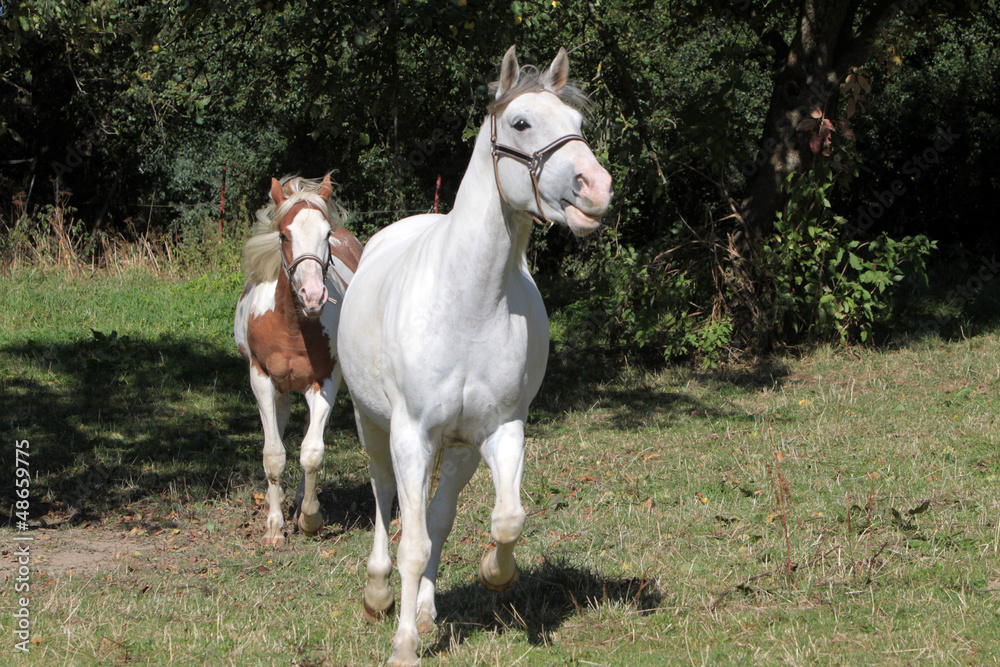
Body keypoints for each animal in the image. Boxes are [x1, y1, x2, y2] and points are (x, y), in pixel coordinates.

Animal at [234, 174, 363, 545]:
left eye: (326, 234)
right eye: (283, 235)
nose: (313, 296)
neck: (291, 326)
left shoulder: (325, 382)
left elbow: (311, 453)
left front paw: (309, 518)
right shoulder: (261, 379)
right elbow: (274, 455)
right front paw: (274, 528)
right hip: (278, 392)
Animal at [337, 47, 613, 665]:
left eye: (578, 124)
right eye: (521, 122)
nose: (597, 187)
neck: (469, 304)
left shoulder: (501, 429)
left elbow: (506, 519)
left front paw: (492, 573)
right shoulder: (411, 433)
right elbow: (410, 540)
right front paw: (404, 646)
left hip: (458, 449)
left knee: (437, 516)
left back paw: (424, 607)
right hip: (375, 427)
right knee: (385, 500)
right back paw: (378, 594)